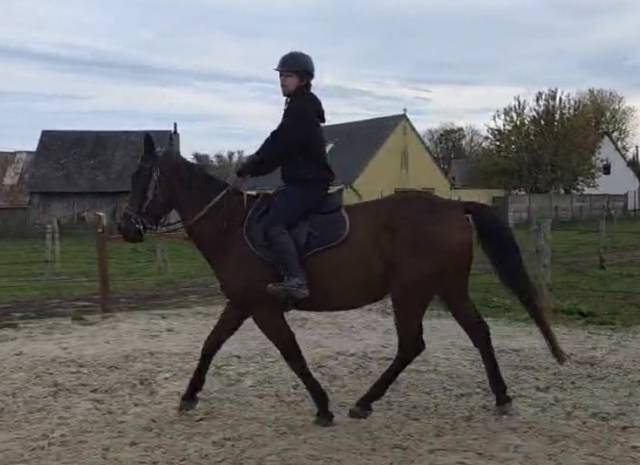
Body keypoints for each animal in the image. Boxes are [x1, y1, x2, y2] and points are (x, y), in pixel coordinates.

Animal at [118, 134, 566, 427]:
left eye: (142, 179)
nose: (125, 227)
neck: (231, 227)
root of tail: (454, 207)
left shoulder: (263, 309)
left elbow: (293, 355)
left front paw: (322, 406)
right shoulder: (241, 304)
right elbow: (210, 345)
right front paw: (188, 396)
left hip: (411, 292)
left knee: (412, 345)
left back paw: (364, 403)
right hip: (448, 288)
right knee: (477, 332)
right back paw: (501, 397)